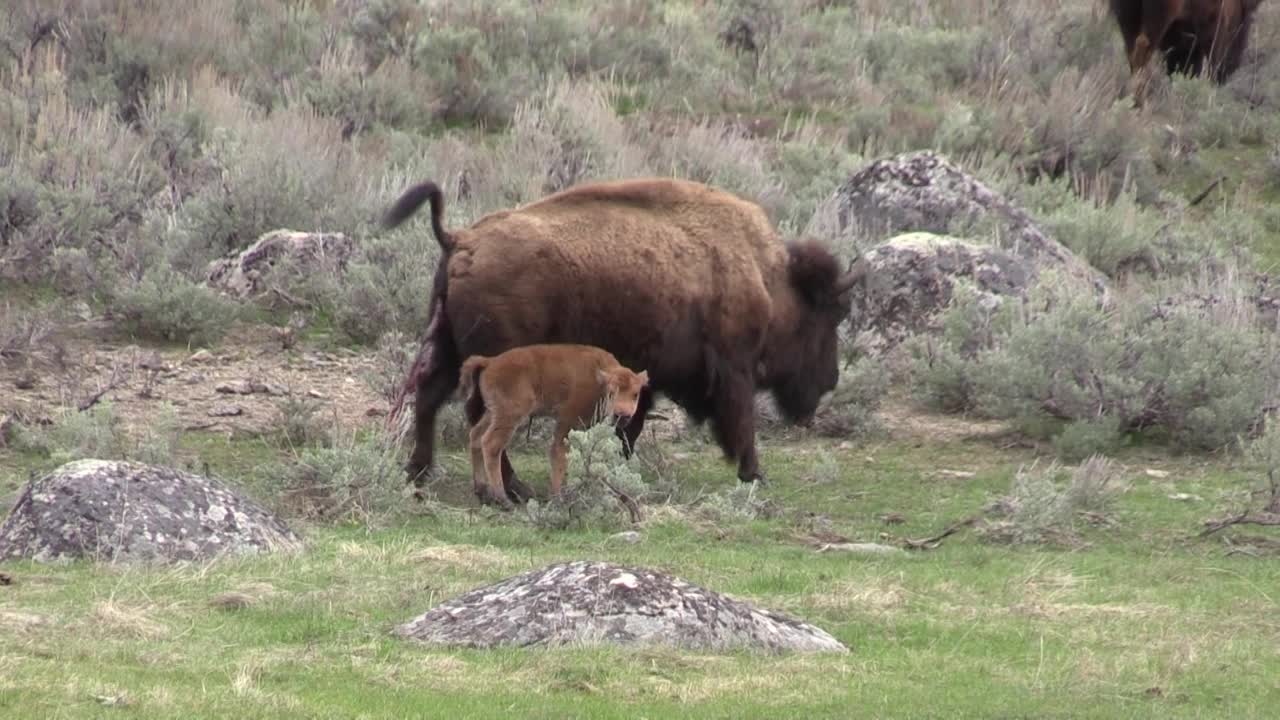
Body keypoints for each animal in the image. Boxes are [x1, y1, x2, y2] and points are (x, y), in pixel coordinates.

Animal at [460, 340, 650, 504]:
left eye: (635, 394)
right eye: (611, 392)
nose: (622, 415)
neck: (597, 377)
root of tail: (490, 362)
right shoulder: (567, 421)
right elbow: (559, 454)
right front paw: (558, 497)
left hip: (492, 413)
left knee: (476, 435)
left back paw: (481, 491)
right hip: (510, 415)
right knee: (490, 444)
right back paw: (503, 499)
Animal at [1105, 0, 1264, 103]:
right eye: (1249, 17)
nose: (1231, 68)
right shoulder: (1216, 28)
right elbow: (1212, 61)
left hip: (1128, 18)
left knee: (1132, 53)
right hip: (1158, 19)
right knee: (1142, 48)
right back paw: (1139, 100)